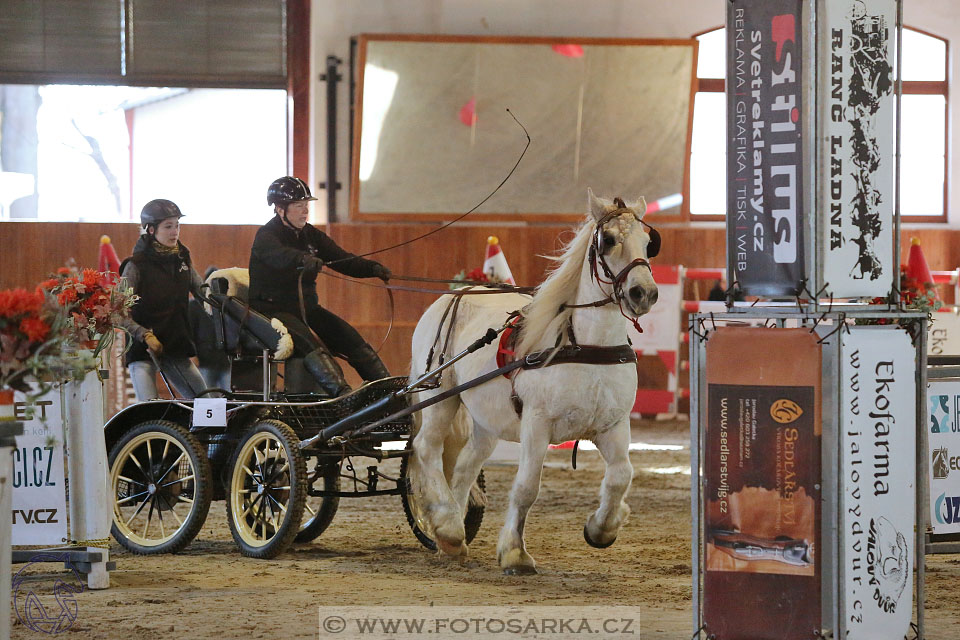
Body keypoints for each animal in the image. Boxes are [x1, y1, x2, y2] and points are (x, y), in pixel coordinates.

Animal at [404, 188, 660, 572]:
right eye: (610, 240)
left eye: (648, 242)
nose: (643, 293)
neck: (587, 347)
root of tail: (452, 295)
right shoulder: (536, 425)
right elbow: (527, 487)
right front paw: (514, 552)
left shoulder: (612, 426)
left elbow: (620, 477)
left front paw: (601, 528)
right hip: (442, 397)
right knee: (426, 448)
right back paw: (447, 525)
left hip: (486, 421)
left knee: (465, 464)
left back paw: (453, 536)